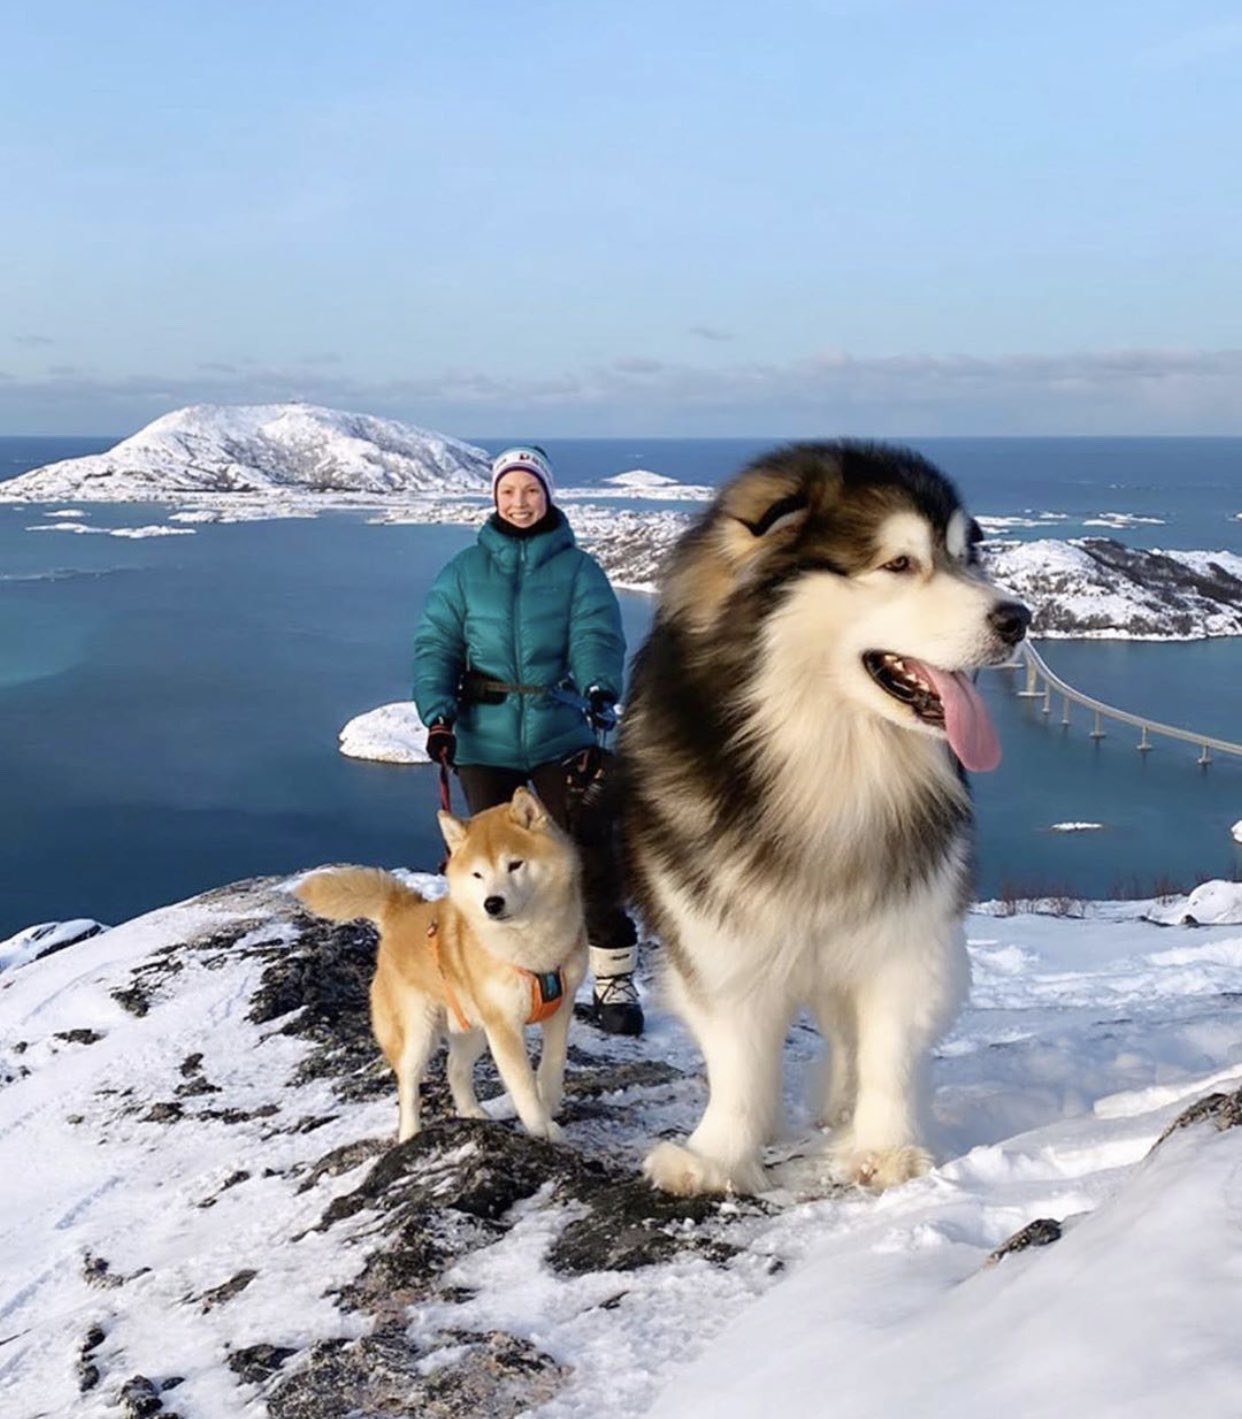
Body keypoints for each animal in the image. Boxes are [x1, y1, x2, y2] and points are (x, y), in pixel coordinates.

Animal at [300, 788, 593, 1140]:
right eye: (478, 874)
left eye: (515, 864)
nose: (492, 904)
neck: (531, 948)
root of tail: (401, 912)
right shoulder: (503, 1027)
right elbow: (523, 1085)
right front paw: (542, 1129)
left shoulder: (560, 1007)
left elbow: (553, 1063)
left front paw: (550, 1103)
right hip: (419, 1033)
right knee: (408, 1086)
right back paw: (410, 1134)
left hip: (473, 1029)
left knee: (455, 1068)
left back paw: (472, 1112)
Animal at [621, 437, 1027, 1191]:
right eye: (898, 563)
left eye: (968, 556)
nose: (1019, 619)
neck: (829, 758)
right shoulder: (719, 933)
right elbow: (739, 1061)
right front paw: (718, 1156)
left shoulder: (907, 928)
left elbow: (888, 1049)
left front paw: (887, 1148)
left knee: (847, 1035)